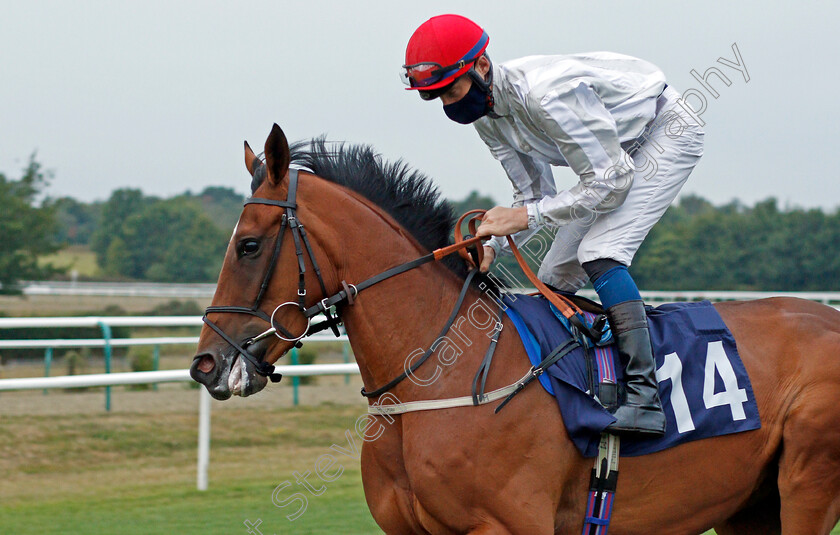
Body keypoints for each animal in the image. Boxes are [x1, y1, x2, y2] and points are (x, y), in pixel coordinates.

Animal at [190, 125, 840, 535]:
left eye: (248, 246)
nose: (206, 365)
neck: (439, 377)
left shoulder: (509, 524)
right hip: (749, 507)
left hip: (807, 482)